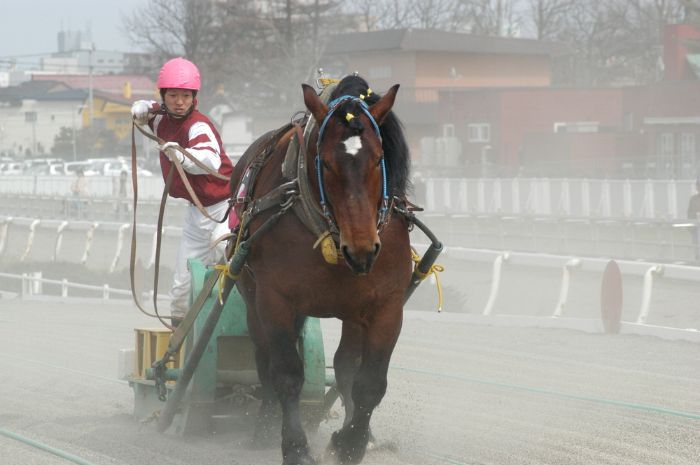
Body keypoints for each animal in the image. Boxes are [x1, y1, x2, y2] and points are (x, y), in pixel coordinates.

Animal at [232, 76, 412, 464]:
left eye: (379, 160)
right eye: (326, 164)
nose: (362, 249)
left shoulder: (387, 305)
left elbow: (370, 381)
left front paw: (351, 442)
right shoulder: (275, 299)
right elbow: (286, 373)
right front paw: (295, 446)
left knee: (345, 365)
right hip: (251, 295)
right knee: (264, 358)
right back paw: (264, 426)